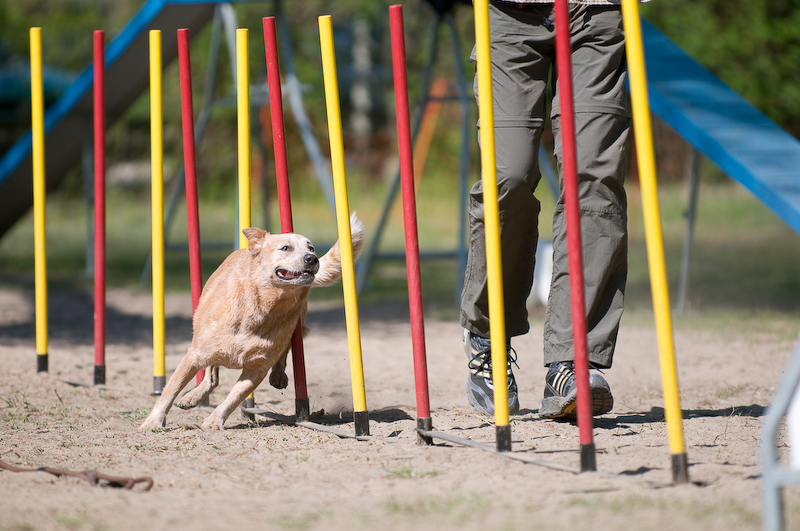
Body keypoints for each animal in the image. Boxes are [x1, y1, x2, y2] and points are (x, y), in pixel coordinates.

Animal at [141, 214, 366, 430]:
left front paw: (214, 421)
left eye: (311, 248)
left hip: (296, 325)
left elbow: (234, 398)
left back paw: (278, 375)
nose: (312, 258)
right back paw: (192, 396)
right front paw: (153, 421)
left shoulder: (257, 369)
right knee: (211, 376)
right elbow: (170, 391)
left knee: (284, 350)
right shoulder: (194, 355)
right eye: (286, 248)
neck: (262, 309)